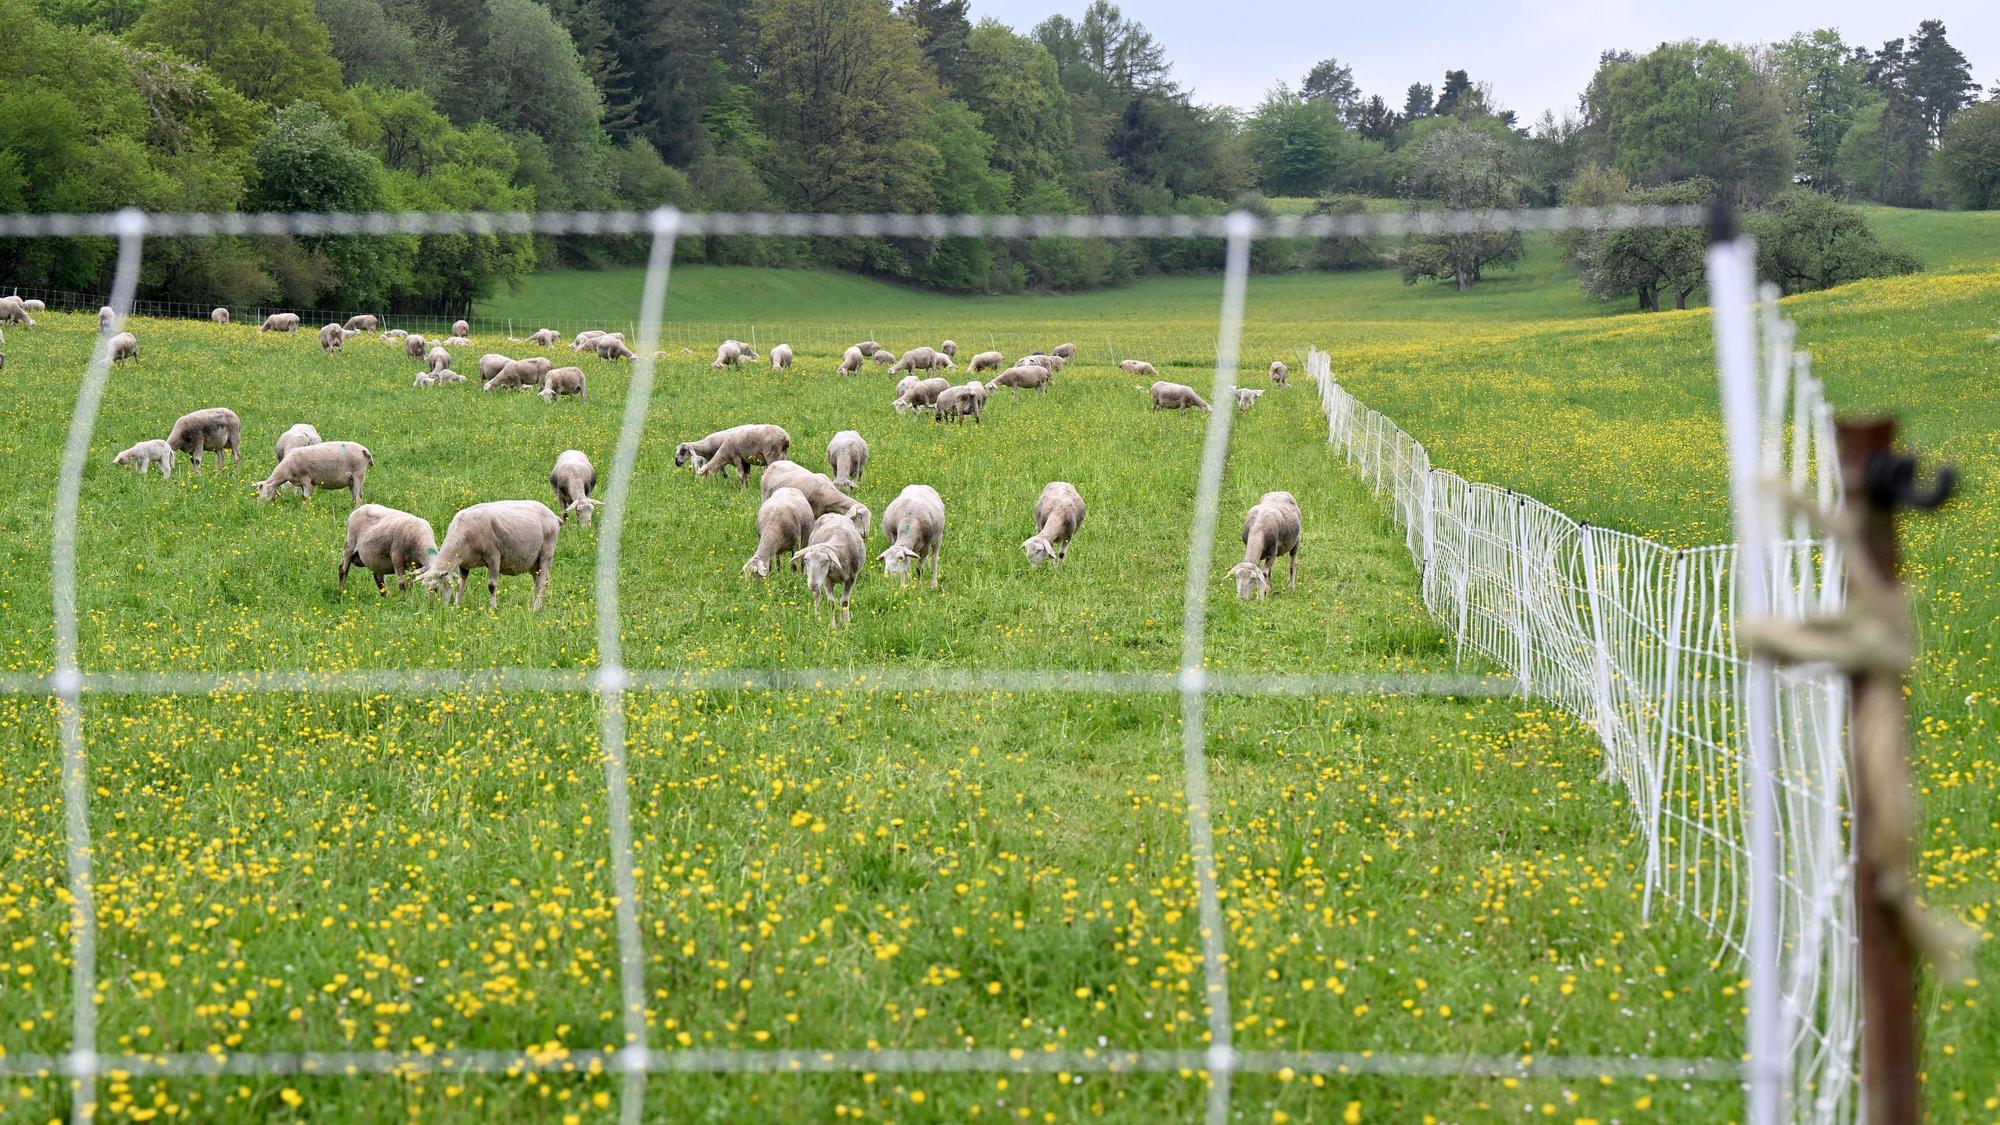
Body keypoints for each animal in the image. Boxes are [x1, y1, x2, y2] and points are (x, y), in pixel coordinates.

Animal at [418, 500, 561, 610]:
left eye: (435, 589)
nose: (431, 608)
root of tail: (553, 515)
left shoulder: (494, 557)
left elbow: (491, 586)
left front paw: (493, 608)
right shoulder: (464, 564)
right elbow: (460, 585)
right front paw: (456, 606)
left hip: (546, 553)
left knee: (542, 582)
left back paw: (535, 608)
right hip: (533, 562)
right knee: (538, 582)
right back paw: (535, 605)